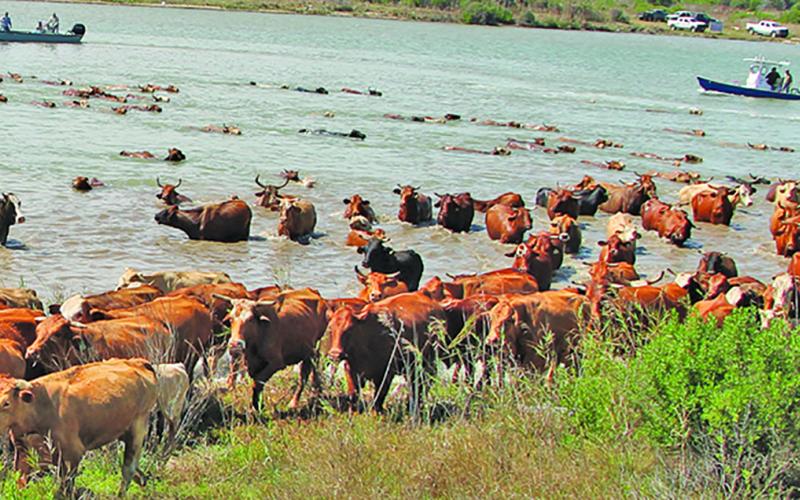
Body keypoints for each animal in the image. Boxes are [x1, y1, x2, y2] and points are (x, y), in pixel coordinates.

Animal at [0, 358, 158, 495]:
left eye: (6, 403)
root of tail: (137, 362)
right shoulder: (22, 451)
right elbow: (21, 482)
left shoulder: (72, 453)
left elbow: (65, 489)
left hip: (138, 427)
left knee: (128, 469)